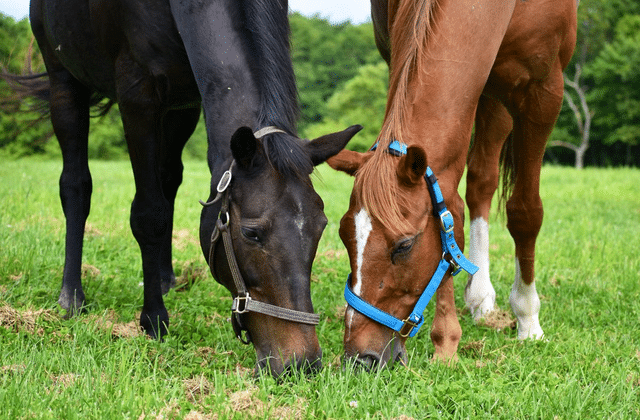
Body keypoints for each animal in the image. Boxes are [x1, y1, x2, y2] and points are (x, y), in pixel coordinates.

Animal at [2, 0, 362, 376]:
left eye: (321, 227)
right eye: (251, 233)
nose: (302, 362)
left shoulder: (187, 100)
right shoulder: (137, 94)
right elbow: (148, 215)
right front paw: (153, 320)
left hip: (177, 109)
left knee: (168, 177)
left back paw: (164, 279)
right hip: (64, 81)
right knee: (76, 186)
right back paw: (72, 296)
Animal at [327, 0, 577, 369]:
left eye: (404, 246)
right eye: (345, 237)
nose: (359, 358)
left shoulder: (544, 91)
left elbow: (525, 212)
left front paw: (528, 319)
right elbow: (451, 214)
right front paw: (446, 341)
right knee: (478, 183)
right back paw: (479, 296)